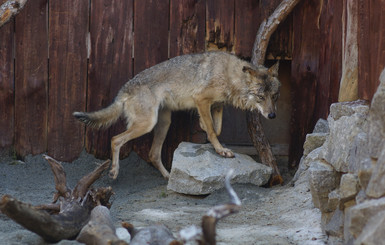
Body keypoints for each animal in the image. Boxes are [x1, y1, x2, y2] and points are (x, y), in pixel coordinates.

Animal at [74, 51, 280, 179]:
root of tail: (124, 89)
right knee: (116, 139)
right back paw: (114, 172)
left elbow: (217, 128)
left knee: (153, 154)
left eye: (274, 96)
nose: (272, 116)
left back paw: (167, 177)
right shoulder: (201, 99)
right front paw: (220, 150)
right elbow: (213, 131)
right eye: (261, 97)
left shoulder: (216, 105)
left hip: (163, 123)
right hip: (147, 124)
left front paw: (205, 128)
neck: (230, 75)